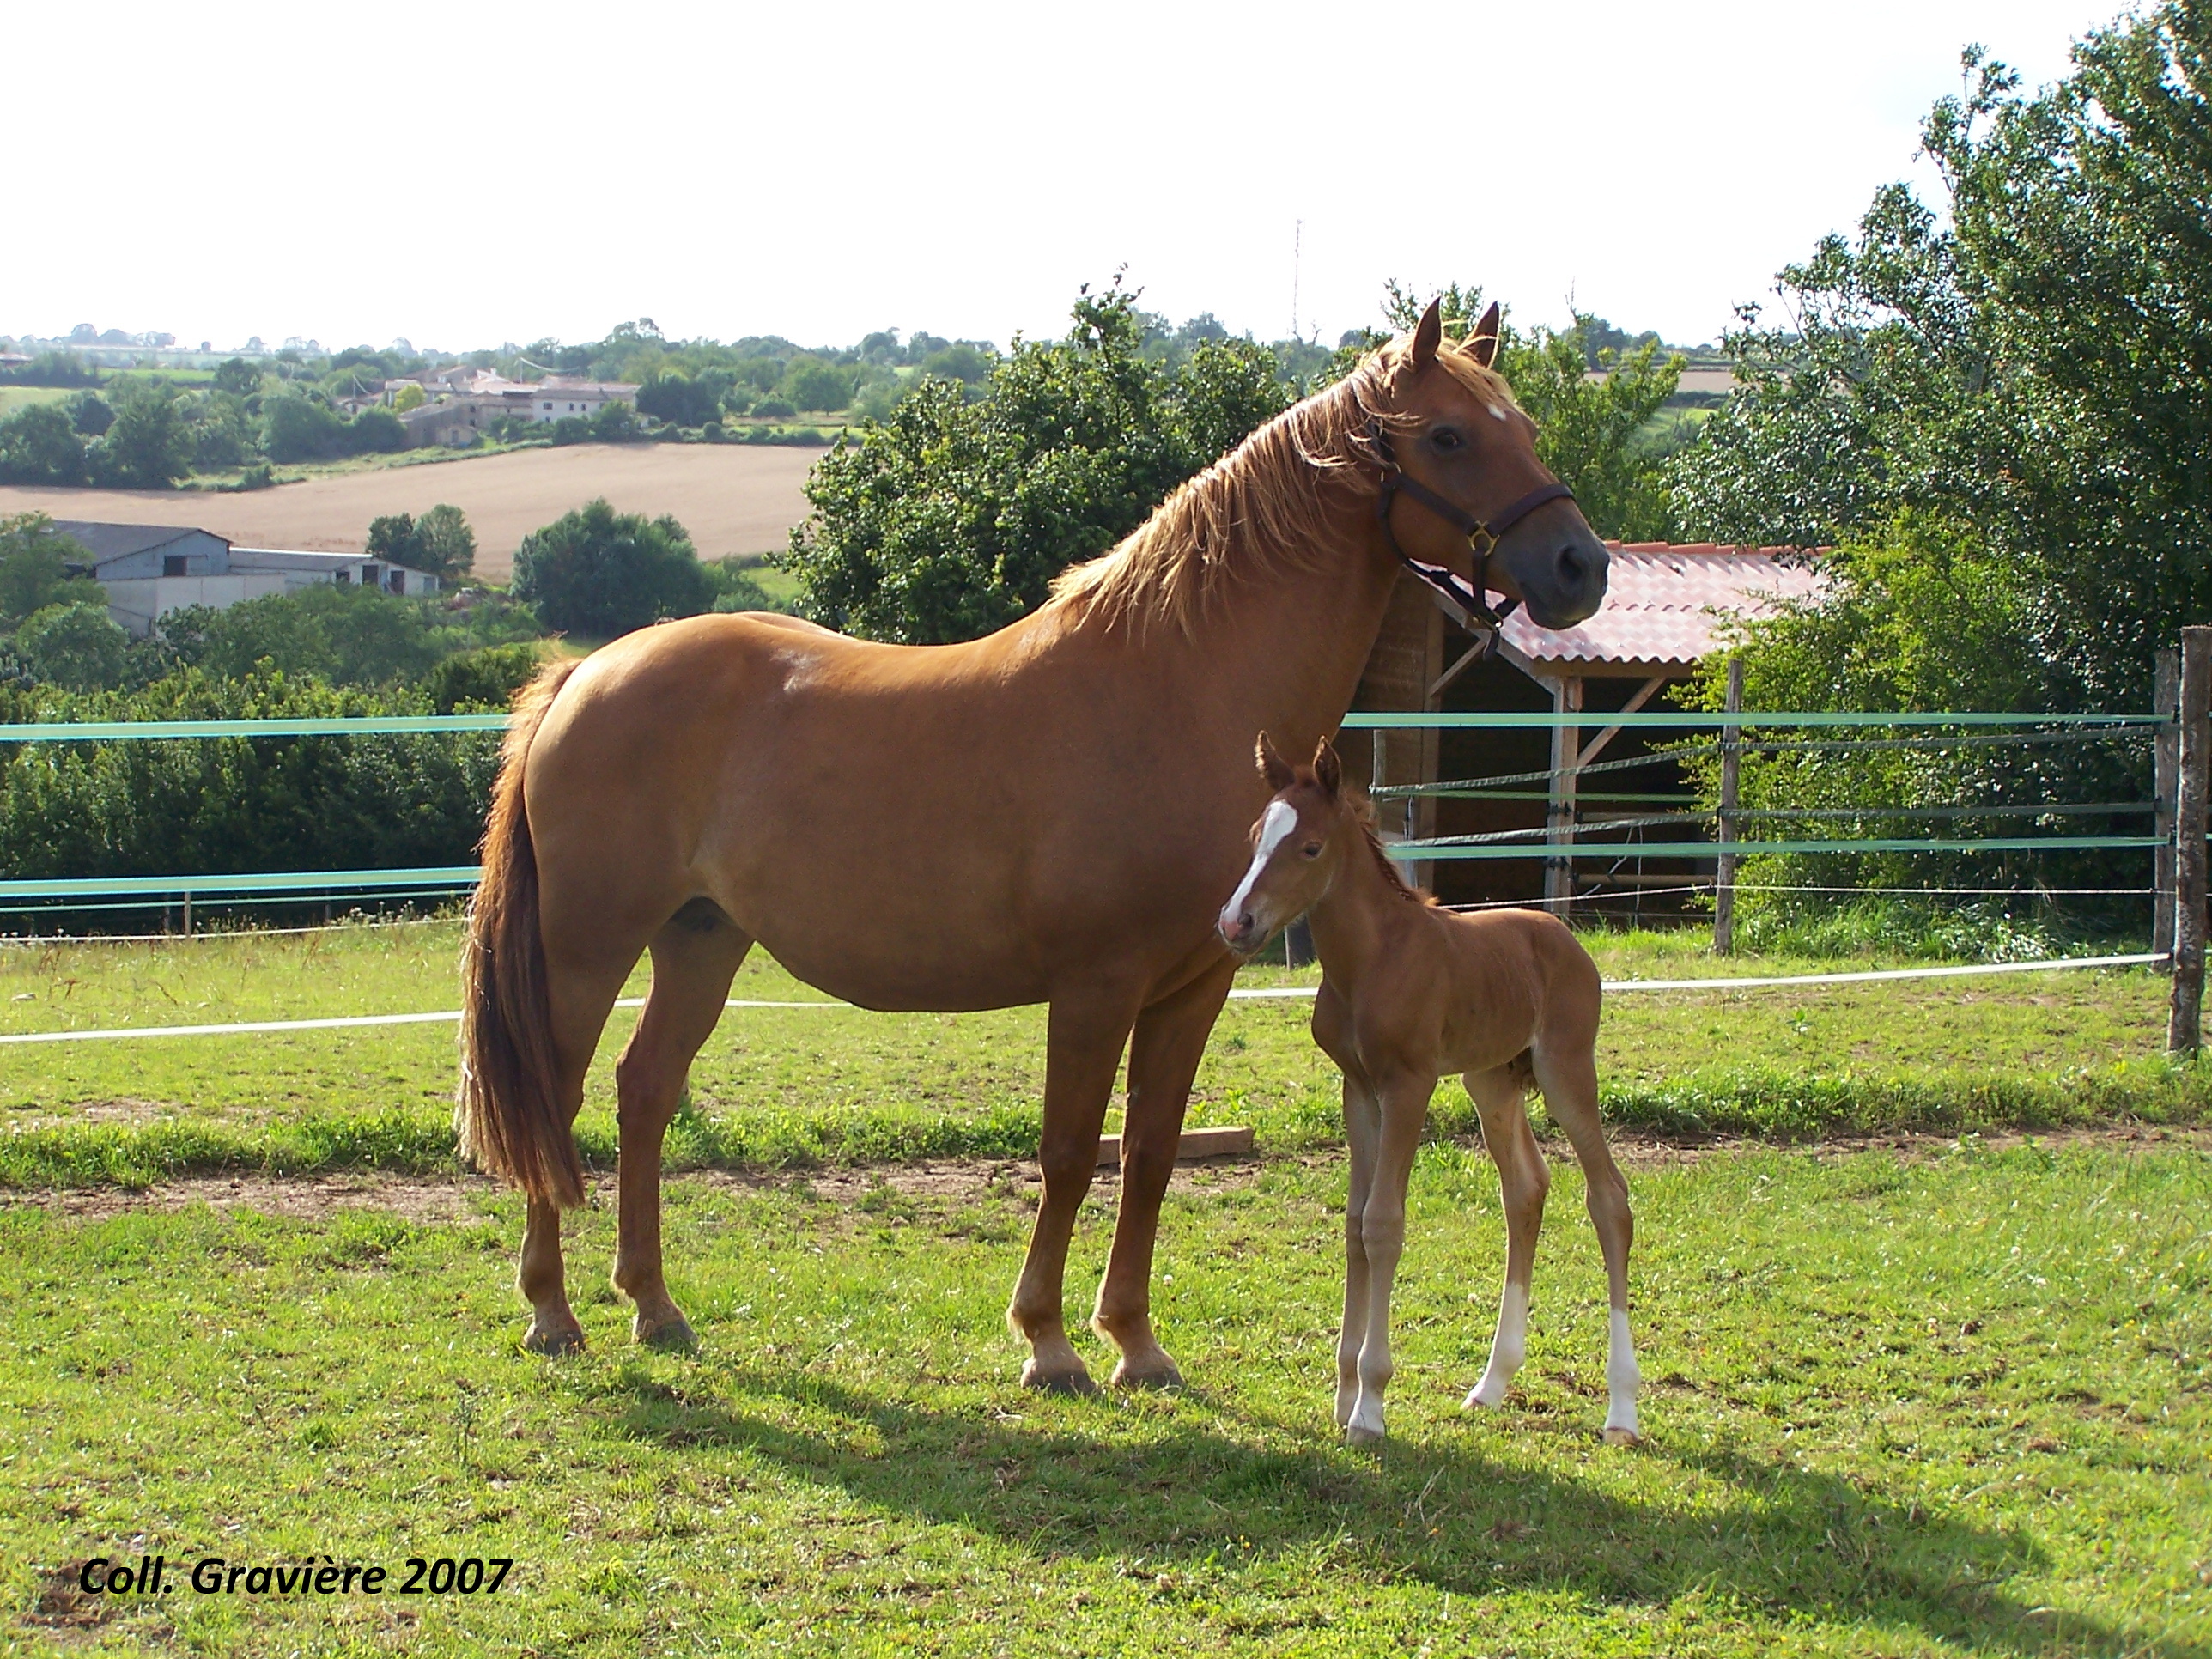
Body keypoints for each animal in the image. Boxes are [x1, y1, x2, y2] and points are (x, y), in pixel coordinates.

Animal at [1220, 734, 1637, 1450]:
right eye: (1254, 837)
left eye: (1310, 847)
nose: (1235, 922)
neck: (1373, 960)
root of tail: (1567, 938)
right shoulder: (1358, 1090)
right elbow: (1355, 1224)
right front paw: (1342, 1397)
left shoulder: (1407, 1085)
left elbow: (1385, 1224)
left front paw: (1370, 1406)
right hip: (1491, 1080)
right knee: (1526, 1190)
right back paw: (1491, 1385)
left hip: (1565, 1073)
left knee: (1609, 1198)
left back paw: (1622, 1409)